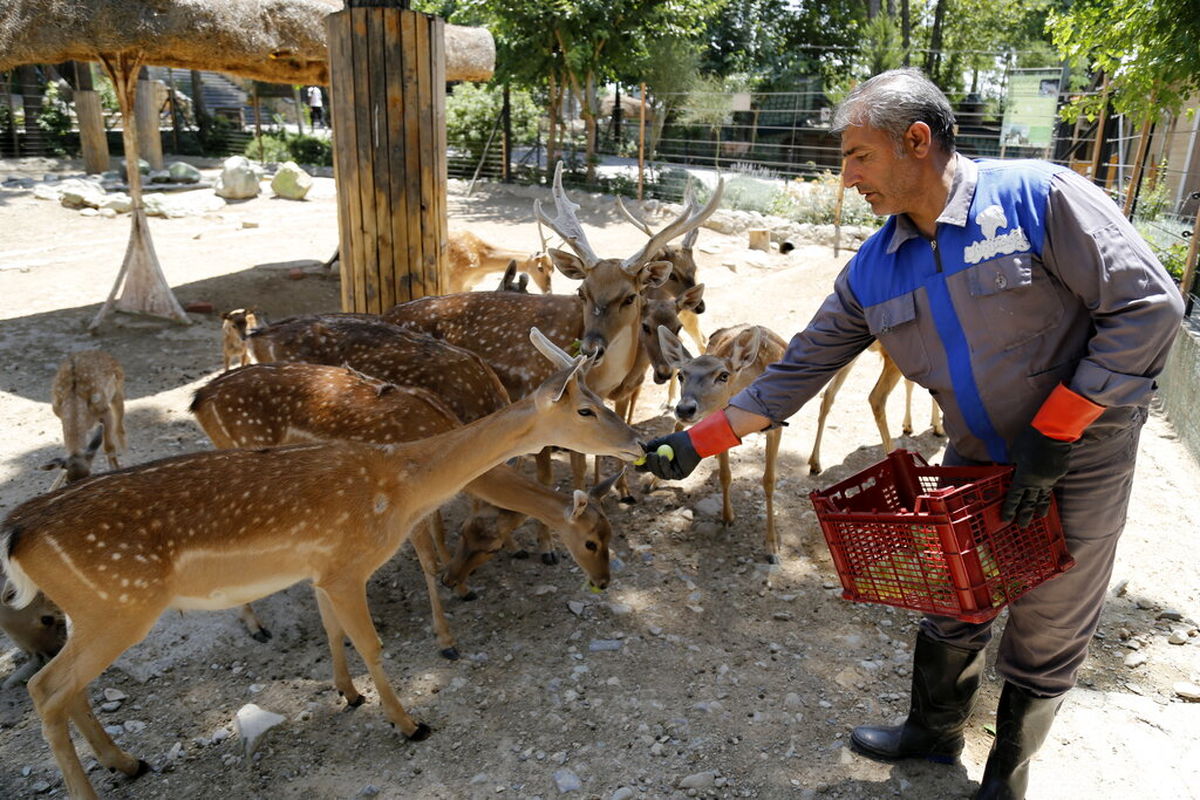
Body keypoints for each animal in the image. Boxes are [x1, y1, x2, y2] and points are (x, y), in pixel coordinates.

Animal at [2, 326, 648, 800]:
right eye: (586, 410)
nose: (639, 442)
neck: (401, 482)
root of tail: (16, 536)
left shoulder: (321, 567)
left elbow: (336, 629)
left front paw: (351, 696)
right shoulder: (345, 564)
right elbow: (375, 643)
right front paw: (410, 722)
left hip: (91, 612)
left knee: (65, 686)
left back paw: (129, 762)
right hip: (119, 604)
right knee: (44, 686)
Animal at [657, 323, 787, 563]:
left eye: (723, 375)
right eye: (681, 375)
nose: (685, 408)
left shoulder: (776, 427)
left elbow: (769, 481)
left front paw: (772, 548)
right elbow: (726, 475)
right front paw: (727, 517)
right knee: (679, 427)